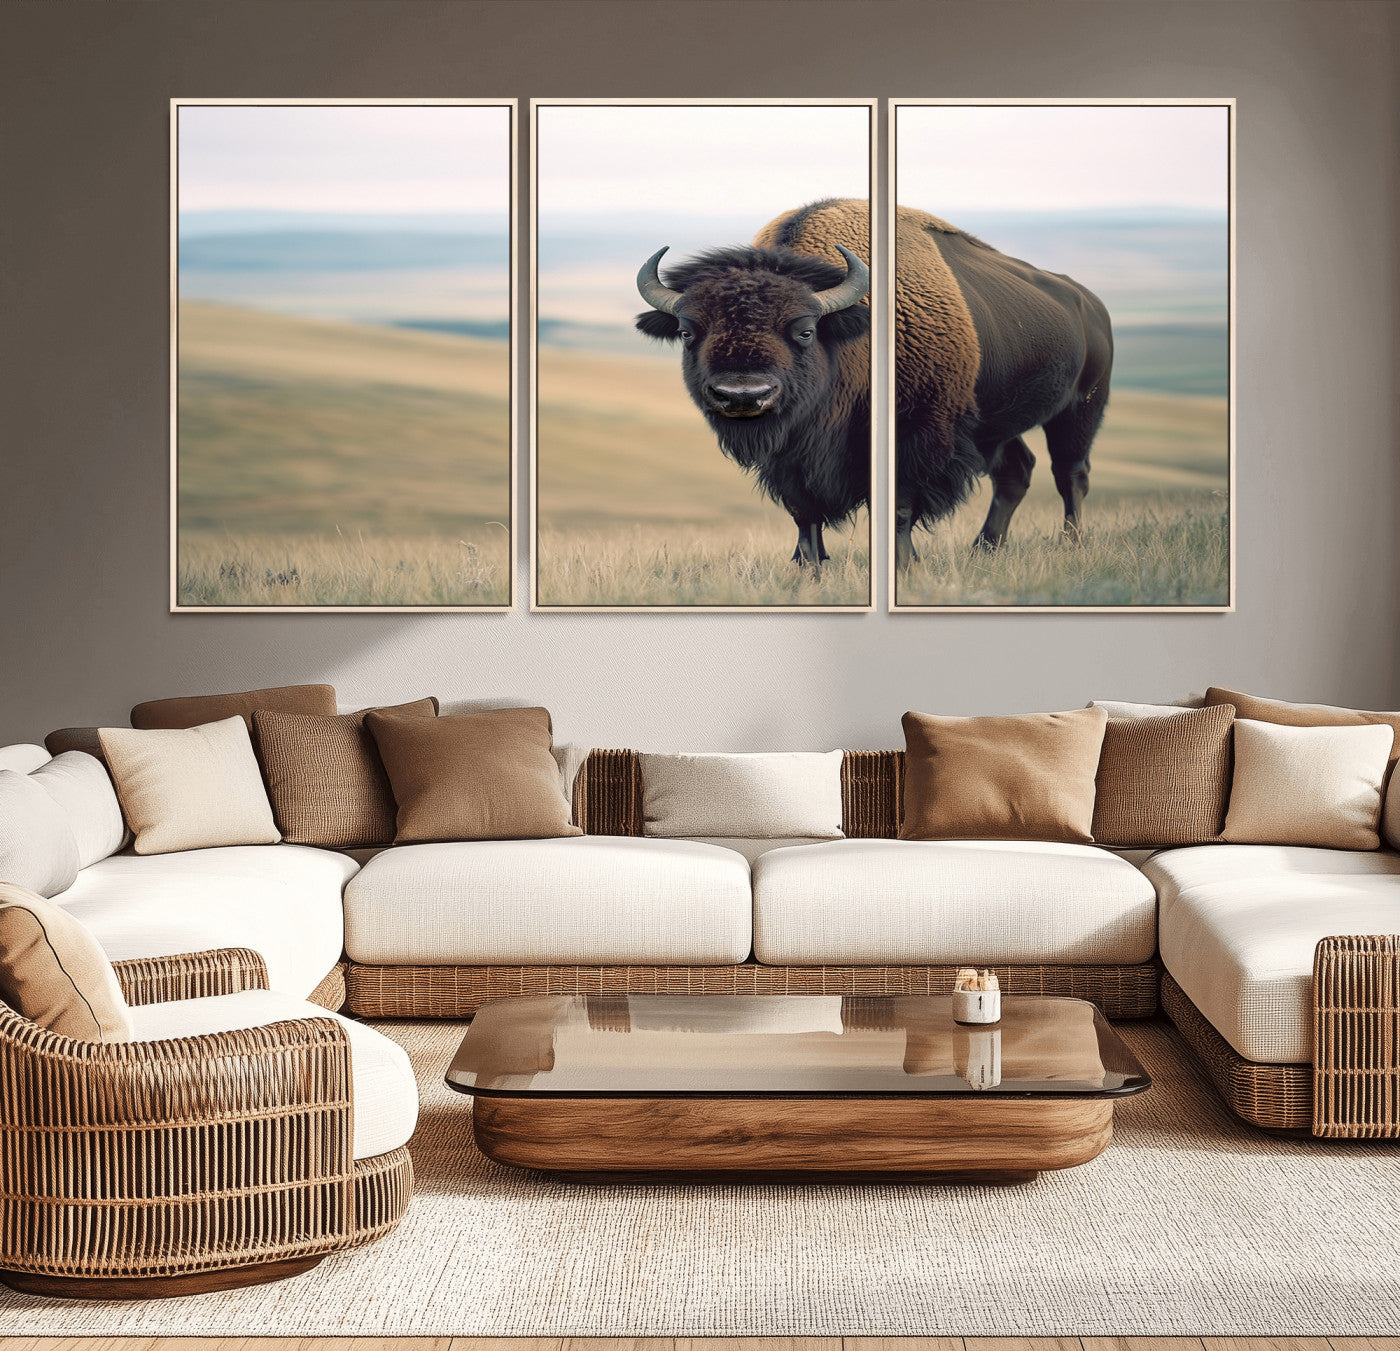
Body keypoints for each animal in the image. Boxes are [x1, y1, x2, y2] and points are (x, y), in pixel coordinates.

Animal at [635, 198, 1114, 571]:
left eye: (805, 330)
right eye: (687, 332)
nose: (743, 395)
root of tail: (1090, 303)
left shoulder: (915, 435)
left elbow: (899, 507)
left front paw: (902, 564)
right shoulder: (789, 457)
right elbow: (803, 511)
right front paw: (808, 567)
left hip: (1079, 410)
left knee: (1070, 474)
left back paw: (1069, 544)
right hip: (992, 424)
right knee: (1017, 471)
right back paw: (983, 550)